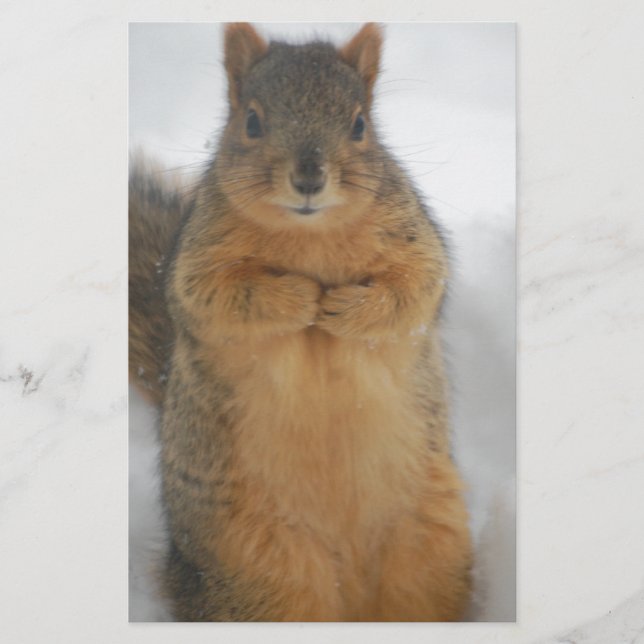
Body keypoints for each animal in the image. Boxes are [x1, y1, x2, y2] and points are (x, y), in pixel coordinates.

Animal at [129, 22, 472, 621]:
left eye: (360, 125)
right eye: (251, 121)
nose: (309, 178)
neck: (309, 235)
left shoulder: (415, 242)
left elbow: (413, 292)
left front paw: (342, 308)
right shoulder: (197, 262)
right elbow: (218, 298)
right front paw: (301, 298)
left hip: (432, 543)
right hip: (257, 570)